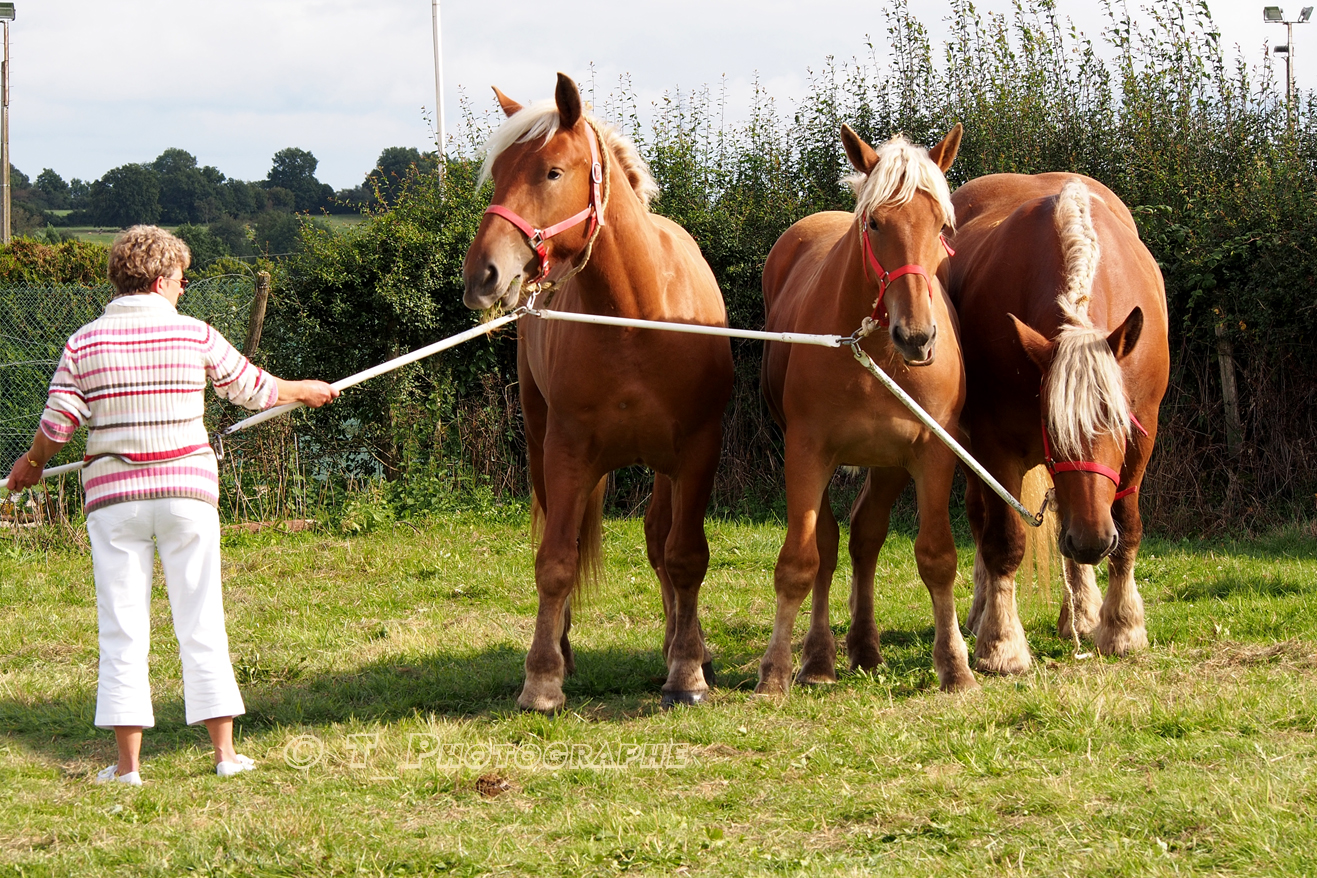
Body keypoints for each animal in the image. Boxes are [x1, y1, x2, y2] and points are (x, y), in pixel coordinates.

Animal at [462, 73, 734, 712]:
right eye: (499, 170)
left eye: (552, 171)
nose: (482, 275)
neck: (636, 316)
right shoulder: (567, 452)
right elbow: (556, 562)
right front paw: (542, 678)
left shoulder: (697, 451)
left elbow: (685, 556)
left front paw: (687, 671)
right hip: (542, 445)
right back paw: (564, 651)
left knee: (662, 542)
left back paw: (684, 645)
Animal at [756, 123, 978, 695]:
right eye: (875, 222)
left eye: (942, 225)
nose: (916, 337)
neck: (874, 353)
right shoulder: (807, 452)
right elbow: (801, 560)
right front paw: (776, 670)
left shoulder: (931, 453)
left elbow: (938, 557)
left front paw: (955, 666)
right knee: (831, 545)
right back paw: (818, 656)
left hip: (889, 465)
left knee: (865, 538)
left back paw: (864, 646)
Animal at [947, 173, 1169, 673]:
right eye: (1052, 427)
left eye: (1120, 423)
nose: (1091, 542)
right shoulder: (993, 447)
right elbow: (1003, 542)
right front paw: (1001, 644)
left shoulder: (1142, 437)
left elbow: (1128, 526)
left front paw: (1121, 626)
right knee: (979, 521)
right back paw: (983, 610)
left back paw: (1082, 612)